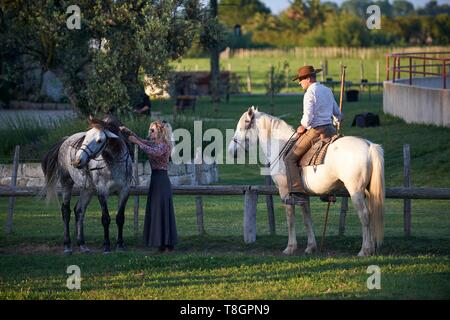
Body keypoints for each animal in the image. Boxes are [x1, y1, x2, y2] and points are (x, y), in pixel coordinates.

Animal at [41, 116, 133, 254]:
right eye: (85, 137)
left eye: (99, 140)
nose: (77, 161)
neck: (114, 163)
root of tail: (64, 140)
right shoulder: (102, 192)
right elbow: (105, 219)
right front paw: (106, 246)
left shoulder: (124, 192)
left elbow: (120, 218)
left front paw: (120, 246)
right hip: (66, 182)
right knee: (66, 211)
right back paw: (67, 246)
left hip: (87, 190)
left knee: (79, 211)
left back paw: (82, 245)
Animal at [229, 106, 384, 256]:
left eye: (242, 127)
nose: (231, 151)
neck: (281, 147)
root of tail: (369, 145)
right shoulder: (302, 195)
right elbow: (307, 218)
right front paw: (310, 247)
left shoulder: (285, 192)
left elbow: (290, 219)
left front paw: (290, 248)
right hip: (367, 192)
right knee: (371, 214)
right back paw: (371, 248)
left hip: (355, 191)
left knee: (364, 216)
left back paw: (364, 250)